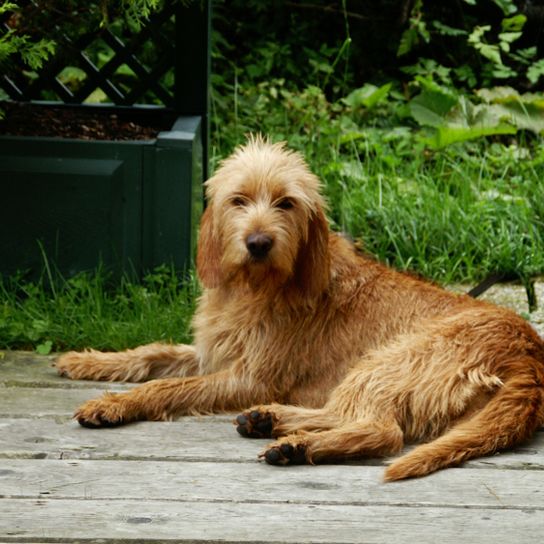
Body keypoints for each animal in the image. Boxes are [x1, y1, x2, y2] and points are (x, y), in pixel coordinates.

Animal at [56, 136, 544, 480]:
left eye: (286, 203)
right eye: (238, 200)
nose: (258, 242)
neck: (256, 287)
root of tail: (529, 354)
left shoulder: (249, 376)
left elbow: (167, 388)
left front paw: (119, 404)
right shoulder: (215, 354)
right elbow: (152, 354)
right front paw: (86, 362)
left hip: (388, 360)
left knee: (382, 430)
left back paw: (297, 445)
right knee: (348, 416)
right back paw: (271, 421)